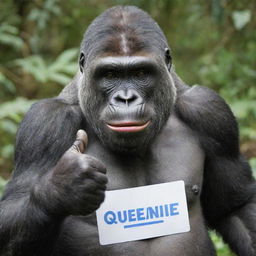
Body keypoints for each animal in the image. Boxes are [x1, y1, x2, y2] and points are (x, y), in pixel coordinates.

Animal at [0, 5, 256, 256]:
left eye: (141, 73)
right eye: (110, 75)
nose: (126, 98)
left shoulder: (211, 112)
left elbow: (235, 206)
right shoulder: (44, 123)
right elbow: (12, 212)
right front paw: (63, 187)